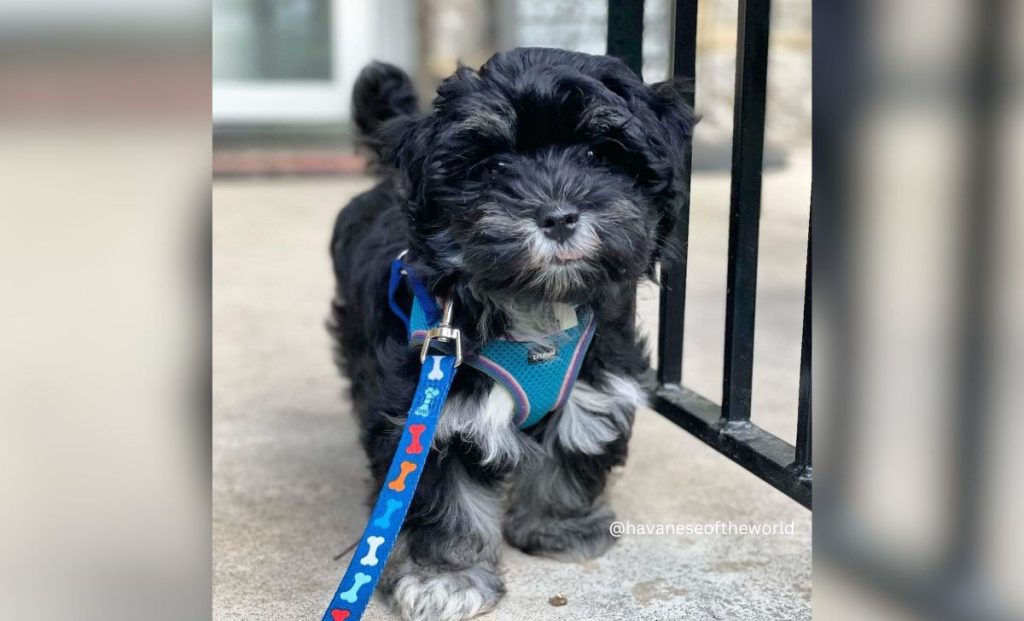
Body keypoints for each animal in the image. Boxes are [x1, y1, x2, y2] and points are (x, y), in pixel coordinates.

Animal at [327, 49, 696, 621]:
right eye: (495, 166)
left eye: (598, 153)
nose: (558, 216)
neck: (533, 309)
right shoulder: (427, 409)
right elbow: (443, 500)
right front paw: (446, 578)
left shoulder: (595, 383)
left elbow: (574, 447)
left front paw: (560, 527)